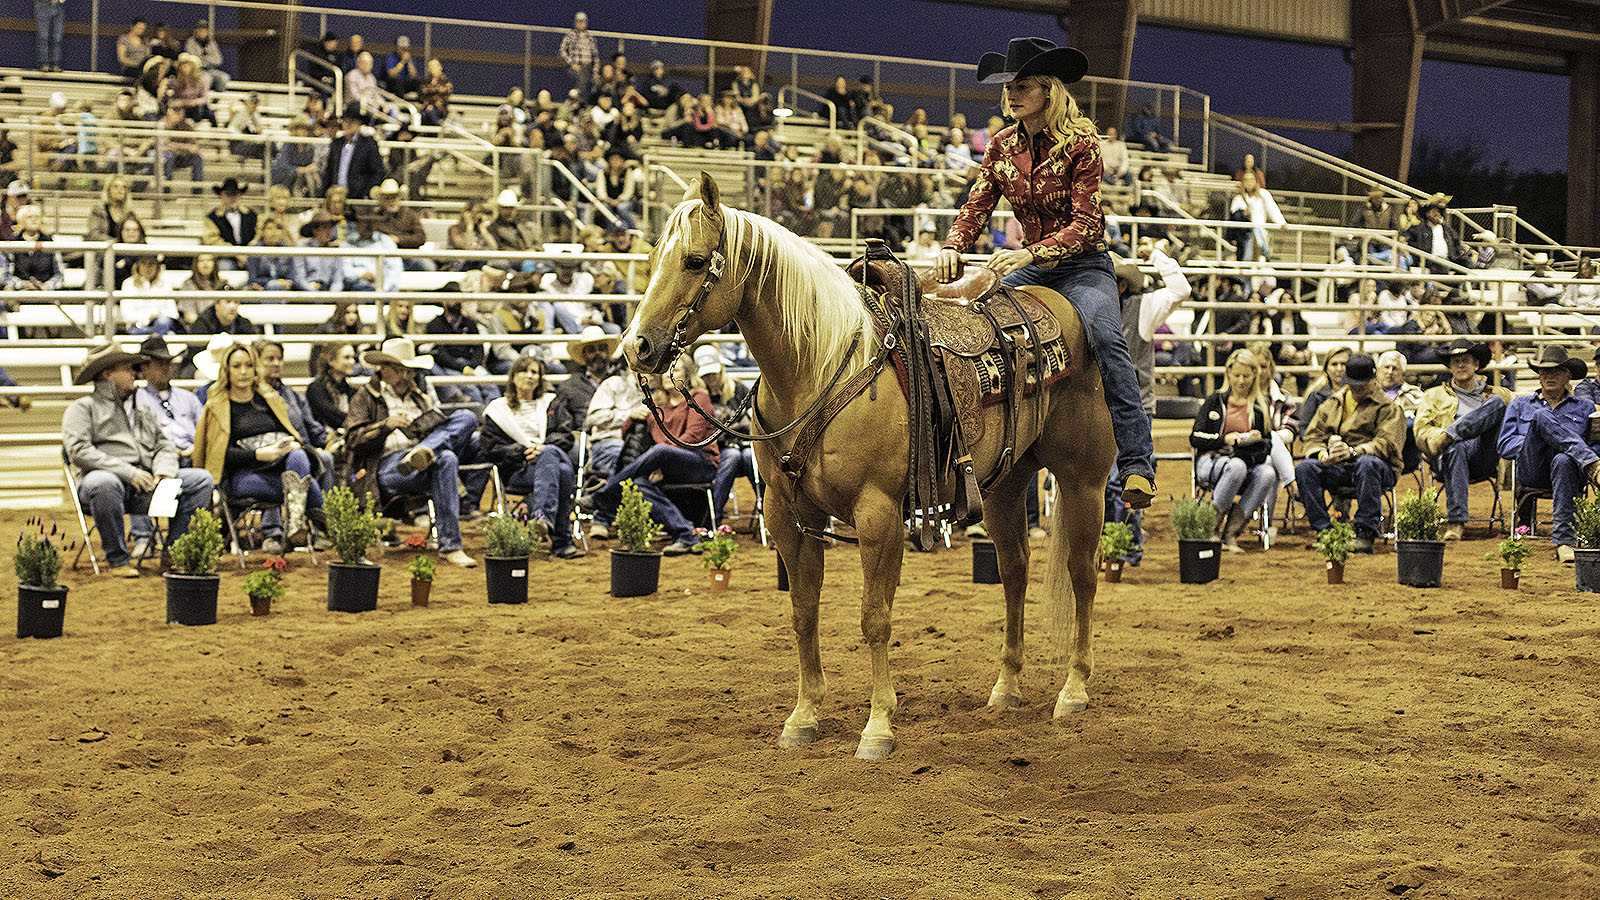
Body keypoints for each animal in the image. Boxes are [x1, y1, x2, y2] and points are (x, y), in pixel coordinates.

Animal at [621, 173, 1115, 760]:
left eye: (695, 261)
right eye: (655, 257)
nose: (636, 346)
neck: (819, 366)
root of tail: (1056, 306)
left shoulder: (877, 513)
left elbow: (875, 617)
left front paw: (878, 726)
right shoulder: (788, 515)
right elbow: (802, 612)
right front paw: (804, 716)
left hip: (1083, 480)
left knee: (1083, 573)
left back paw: (1074, 689)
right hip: (1004, 482)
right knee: (1014, 570)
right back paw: (1006, 687)